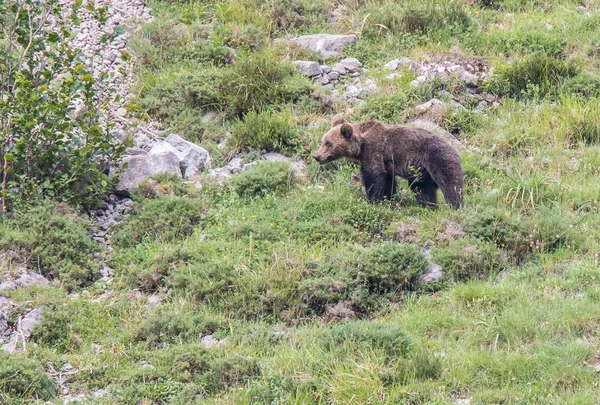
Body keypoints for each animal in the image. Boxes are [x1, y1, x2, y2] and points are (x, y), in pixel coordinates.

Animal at [314, 114, 464, 207]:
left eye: (328, 143)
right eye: (322, 141)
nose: (316, 156)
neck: (360, 144)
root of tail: (455, 148)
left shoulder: (373, 150)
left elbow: (373, 174)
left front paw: (372, 200)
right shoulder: (386, 162)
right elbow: (387, 181)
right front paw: (388, 198)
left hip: (439, 158)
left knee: (451, 185)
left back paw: (455, 206)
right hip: (422, 171)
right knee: (422, 188)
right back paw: (429, 205)